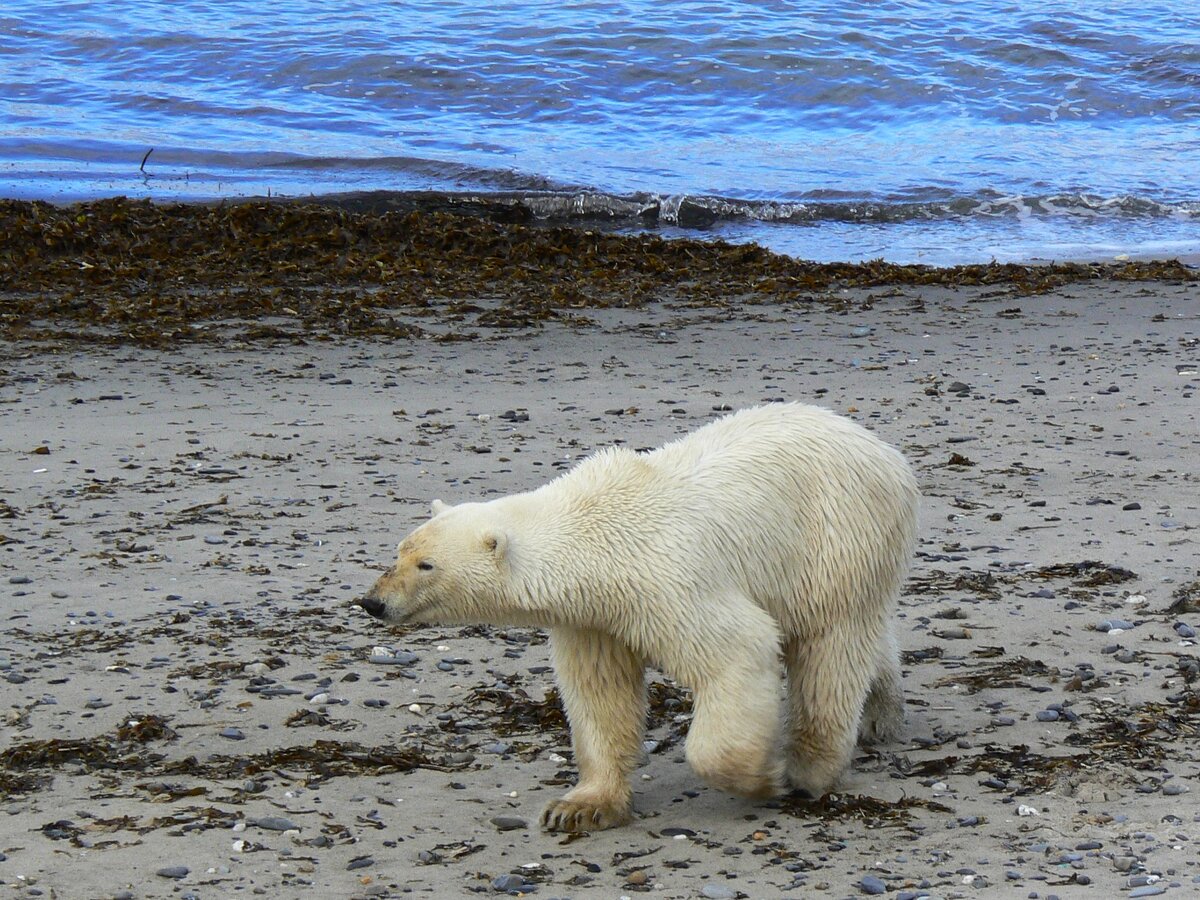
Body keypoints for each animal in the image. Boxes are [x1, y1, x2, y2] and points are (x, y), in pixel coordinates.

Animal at [355, 405, 916, 835]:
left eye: (426, 565)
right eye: (400, 551)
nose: (373, 602)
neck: (593, 537)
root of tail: (885, 451)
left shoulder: (668, 580)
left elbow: (738, 650)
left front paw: (761, 778)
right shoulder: (594, 618)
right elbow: (599, 693)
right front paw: (578, 807)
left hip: (835, 537)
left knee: (831, 645)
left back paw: (809, 769)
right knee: (865, 638)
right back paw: (880, 716)